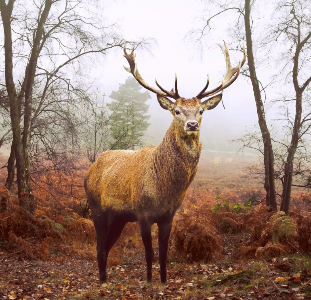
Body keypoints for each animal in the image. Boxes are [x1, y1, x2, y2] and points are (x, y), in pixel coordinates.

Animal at [84, 42, 246, 284]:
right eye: (177, 110)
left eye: (201, 111)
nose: (191, 125)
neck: (164, 188)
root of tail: (89, 170)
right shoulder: (142, 213)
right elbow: (149, 253)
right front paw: (149, 281)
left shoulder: (169, 216)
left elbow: (163, 253)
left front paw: (163, 281)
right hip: (96, 208)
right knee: (99, 246)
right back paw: (102, 282)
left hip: (119, 217)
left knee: (105, 246)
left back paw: (104, 280)